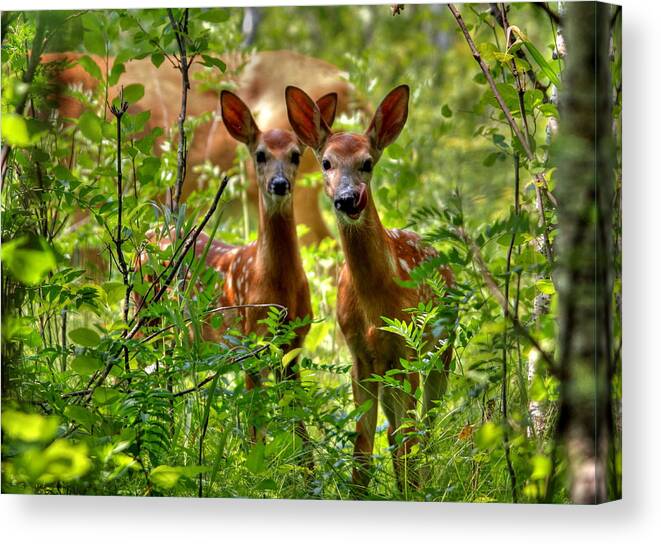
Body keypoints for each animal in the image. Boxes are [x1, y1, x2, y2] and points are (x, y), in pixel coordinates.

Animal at [144, 90, 338, 460]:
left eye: (295, 155)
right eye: (260, 154)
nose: (279, 183)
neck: (276, 284)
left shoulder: (294, 344)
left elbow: (299, 422)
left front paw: (308, 470)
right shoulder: (250, 342)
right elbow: (255, 424)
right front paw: (254, 465)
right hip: (146, 312)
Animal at [284, 84, 454, 492]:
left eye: (367, 163)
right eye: (326, 162)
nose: (347, 199)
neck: (376, 303)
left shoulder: (408, 348)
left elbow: (407, 436)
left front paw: (414, 493)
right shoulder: (359, 354)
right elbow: (363, 443)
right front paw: (360, 492)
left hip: (442, 348)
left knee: (426, 426)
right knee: (395, 433)